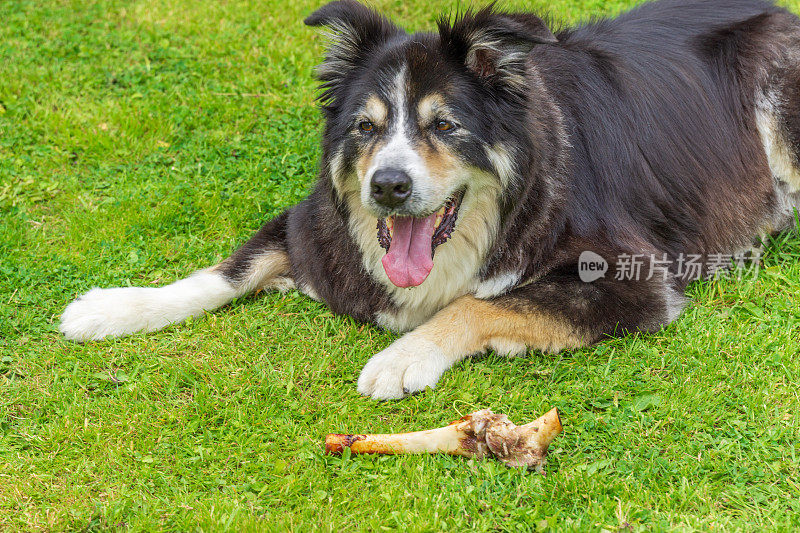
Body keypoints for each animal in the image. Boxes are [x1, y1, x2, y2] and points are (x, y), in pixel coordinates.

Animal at [61, 0, 800, 400]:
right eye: (365, 127)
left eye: (444, 125)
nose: (387, 187)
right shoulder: (313, 228)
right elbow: (224, 271)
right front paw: (114, 308)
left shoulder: (634, 278)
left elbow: (479, 301)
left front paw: (404, 356)